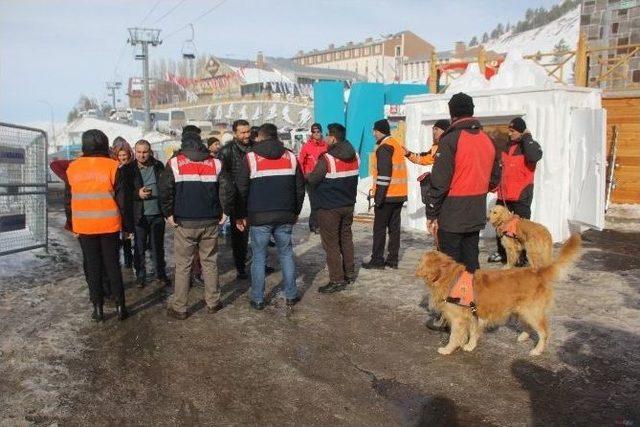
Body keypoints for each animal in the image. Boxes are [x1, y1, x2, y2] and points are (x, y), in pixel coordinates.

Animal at [418, 236, 584, 356]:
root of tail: (537, 272)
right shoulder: (472, 315)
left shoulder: (459, 318)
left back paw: (537, 350)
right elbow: (473, 332)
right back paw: (523, 336)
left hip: (532, 312)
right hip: (521, 310)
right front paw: (470, 346)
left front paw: (447, 349)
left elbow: (454, 336)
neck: (451, 278)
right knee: (529, 327)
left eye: (422, 260)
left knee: (544, 332)